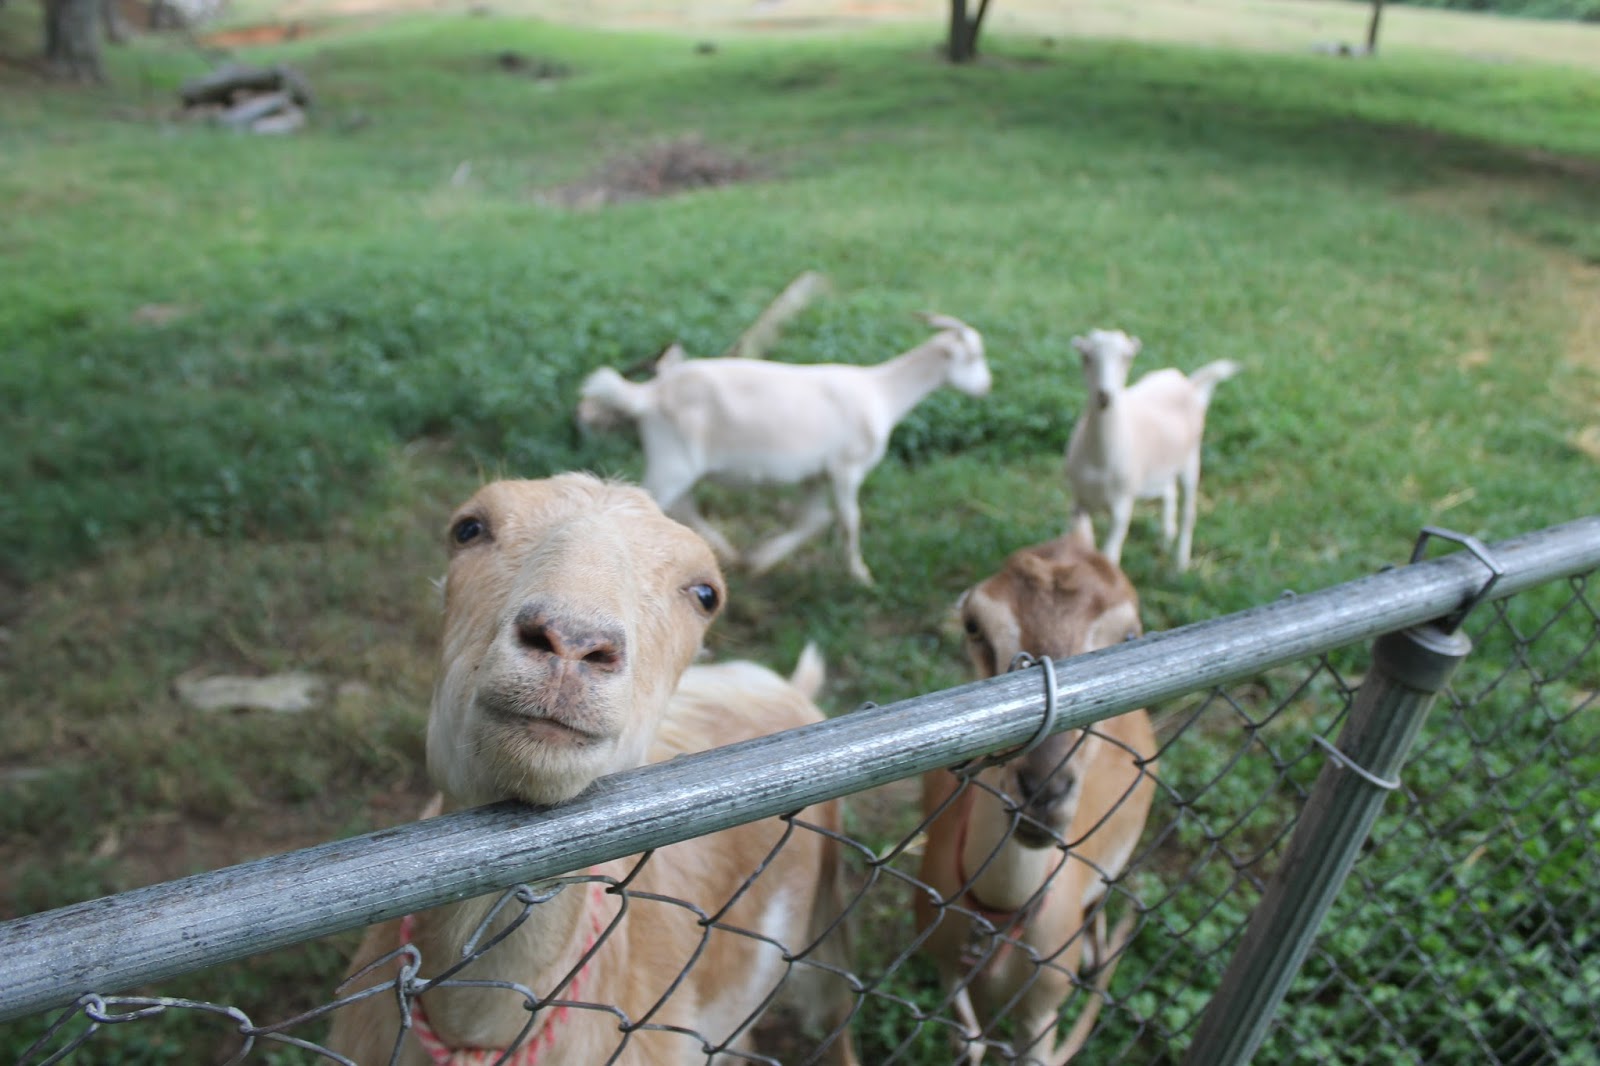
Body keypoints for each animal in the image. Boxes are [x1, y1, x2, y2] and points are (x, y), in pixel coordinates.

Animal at [575, 314, 992, 585]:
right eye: (973, 357)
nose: (986, 387)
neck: (882, 392)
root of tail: (648, 394)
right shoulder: (847, 468)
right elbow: (849, 518)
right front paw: (861, 574)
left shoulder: (816, 474)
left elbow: (814, 520)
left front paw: (760, 561)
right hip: (672, 460)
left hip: (680, 465)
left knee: (682, 508)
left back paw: (725, 553)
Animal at [915, 530, 1158, 1065]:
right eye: (974, 625)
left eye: (1129, 636)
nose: (1042, 794)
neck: (998, 911)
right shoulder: (944, 964)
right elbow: (969, 1043)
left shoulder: (1041, 1011)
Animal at [1063, 328, 1240, 571]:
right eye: (1086, 356)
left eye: (1127, 357)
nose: (1104, 396)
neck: (1100, 461)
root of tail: (1187, 383)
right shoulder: (1078, 501)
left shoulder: (1122, 506)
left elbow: (1109, 555)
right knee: (1169, 491)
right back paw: (1166, 538)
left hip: (1191, 458)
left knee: (1188, 511)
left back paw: (1181, 564)